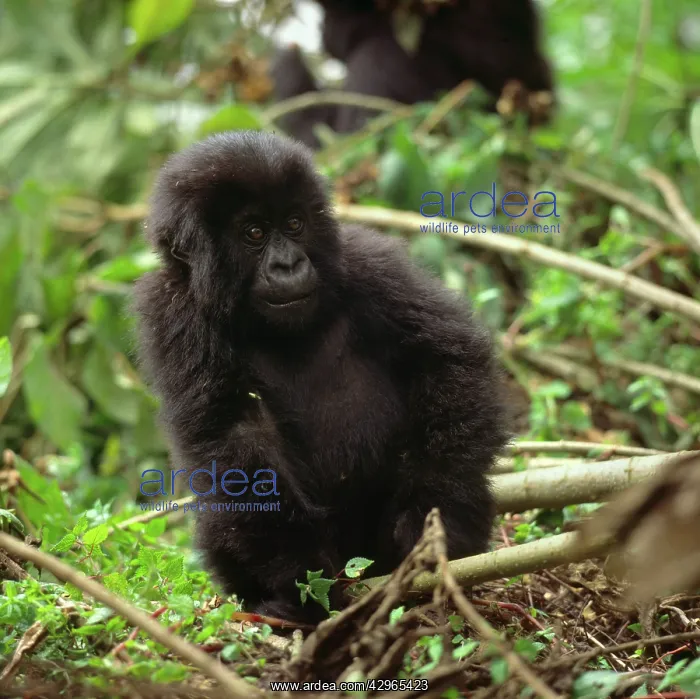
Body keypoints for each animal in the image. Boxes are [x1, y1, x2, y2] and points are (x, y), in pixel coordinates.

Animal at [134, 130, 509, 622]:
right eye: (254, 233)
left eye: (294, 224)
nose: (288, 265)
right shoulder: (172, 311)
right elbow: (233, 432)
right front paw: (302, 578)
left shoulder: (367, 262)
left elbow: (446, 358)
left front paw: (434, 516)